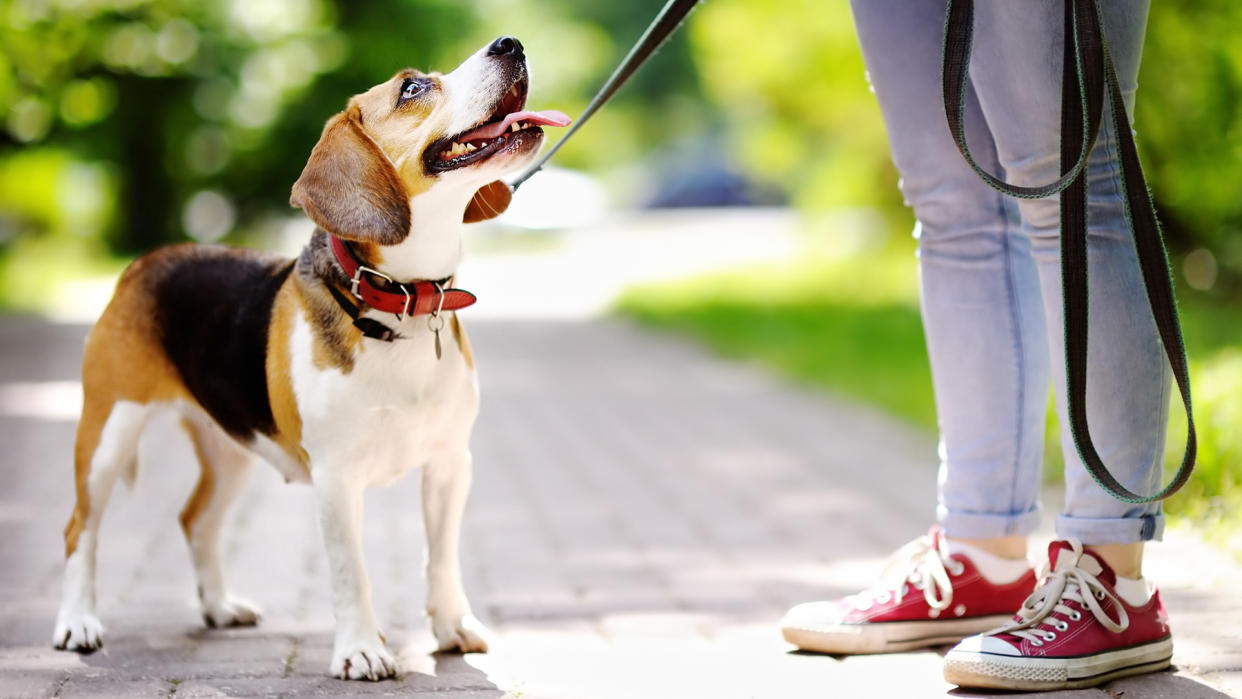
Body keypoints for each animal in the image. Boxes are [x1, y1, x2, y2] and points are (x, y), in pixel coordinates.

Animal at [50, 35, 568, 680]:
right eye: (413, 88)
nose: (510, 43)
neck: (400, 304)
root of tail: (146, 262)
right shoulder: (336, 478)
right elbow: (352, 572)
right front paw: (363, 649)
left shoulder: (451, 463)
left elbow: (441, 557)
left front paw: (452, 627)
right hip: (107, 434)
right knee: (80, 528)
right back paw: (77, 623)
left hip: (231, 448)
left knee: (196, 521)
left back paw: (218, 607)